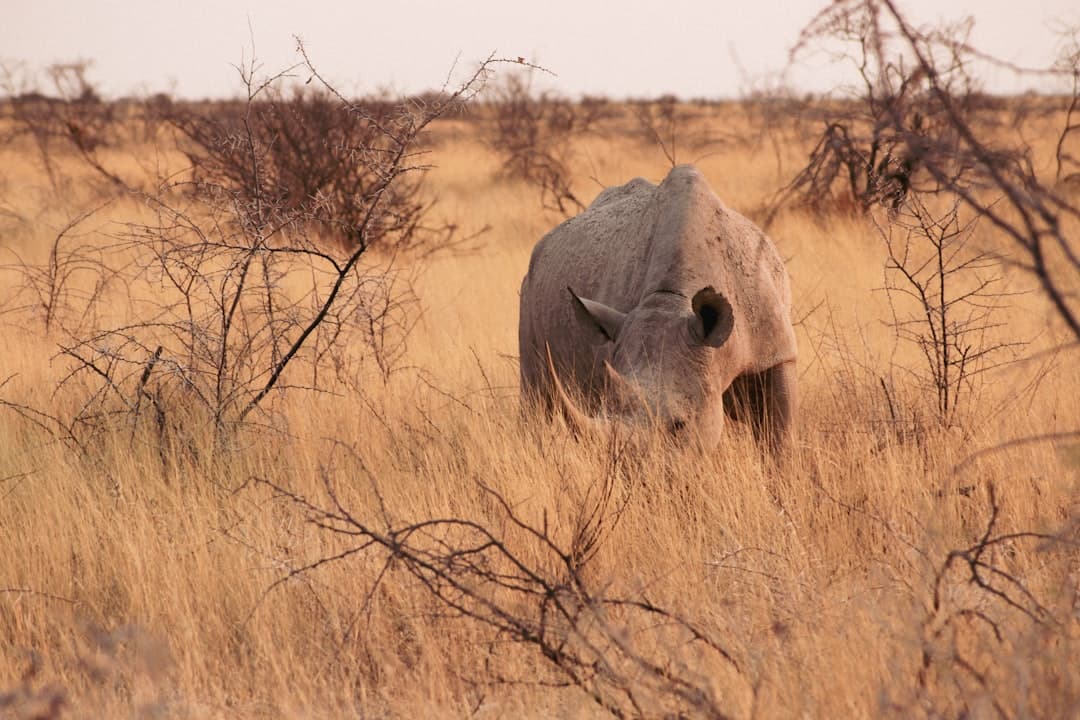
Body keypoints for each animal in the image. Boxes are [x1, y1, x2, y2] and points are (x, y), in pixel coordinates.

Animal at [518, 165, 797, 451]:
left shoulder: (777, 352)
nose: (632, 464)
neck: (674, 300)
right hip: (529, 286)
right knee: (536, 397)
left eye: (680, 425)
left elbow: (779, 435)